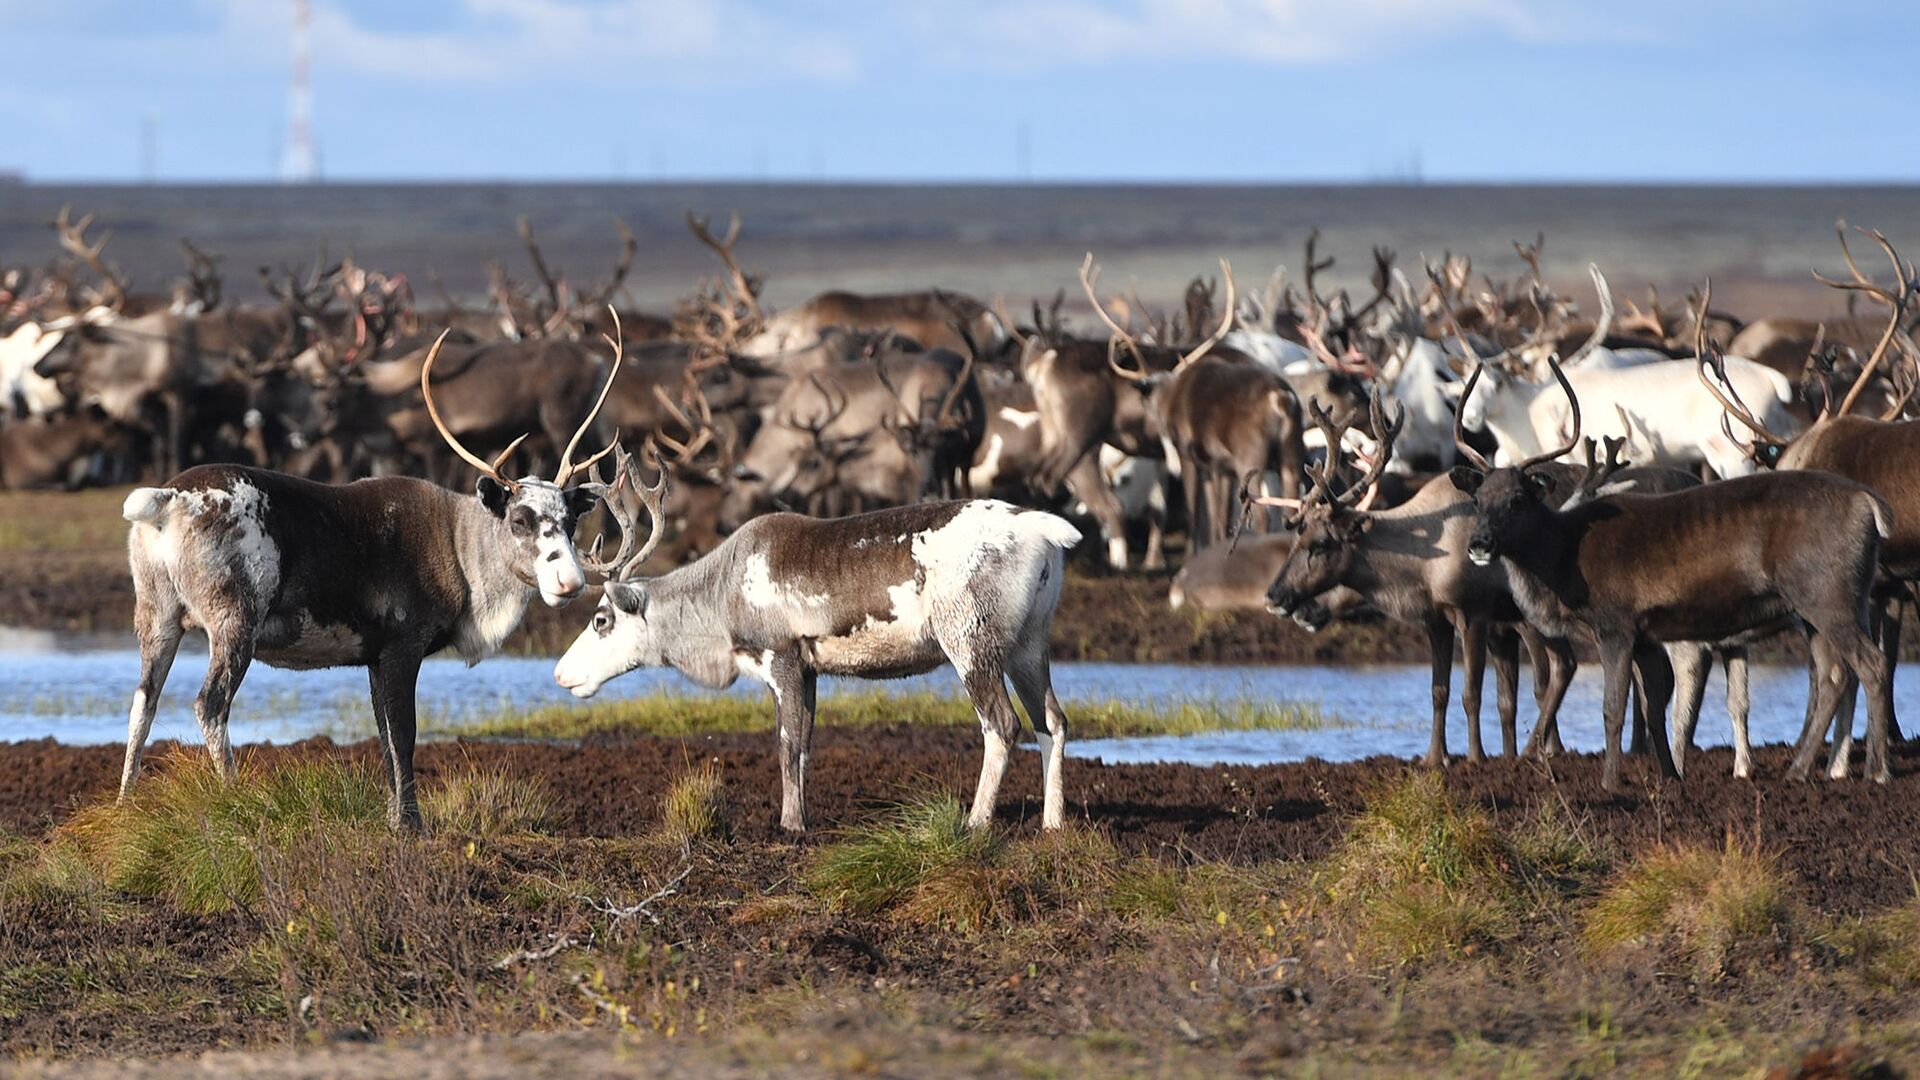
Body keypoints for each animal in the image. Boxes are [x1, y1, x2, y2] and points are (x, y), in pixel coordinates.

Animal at [115, 323, 627, 829]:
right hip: (234, 619)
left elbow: (382, 736)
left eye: (570, 520)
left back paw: (124, 804)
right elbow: (404, 734)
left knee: (144, 700)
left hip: (157, 615)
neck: (458, 548)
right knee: (211, 703)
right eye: (520, 519)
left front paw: (393, 816)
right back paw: (234, 801)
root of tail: (168, 500)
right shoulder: (403, 646)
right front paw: (410, 825)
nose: (569, 582)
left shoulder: (373, 657)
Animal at [555, 454, 1084, 832]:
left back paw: (975, 822)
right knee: (1052, 721)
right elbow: (807, 742)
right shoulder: (810, 668)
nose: (560, 673)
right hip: (1029, 642)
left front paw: (789, 824)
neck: (720, 610)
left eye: (600, 619)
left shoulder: (782, 655)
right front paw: (803, 816)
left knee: (1002, 724)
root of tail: (1043, 532)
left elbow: (787, 743)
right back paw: (1053, 823)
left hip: (969, 639)